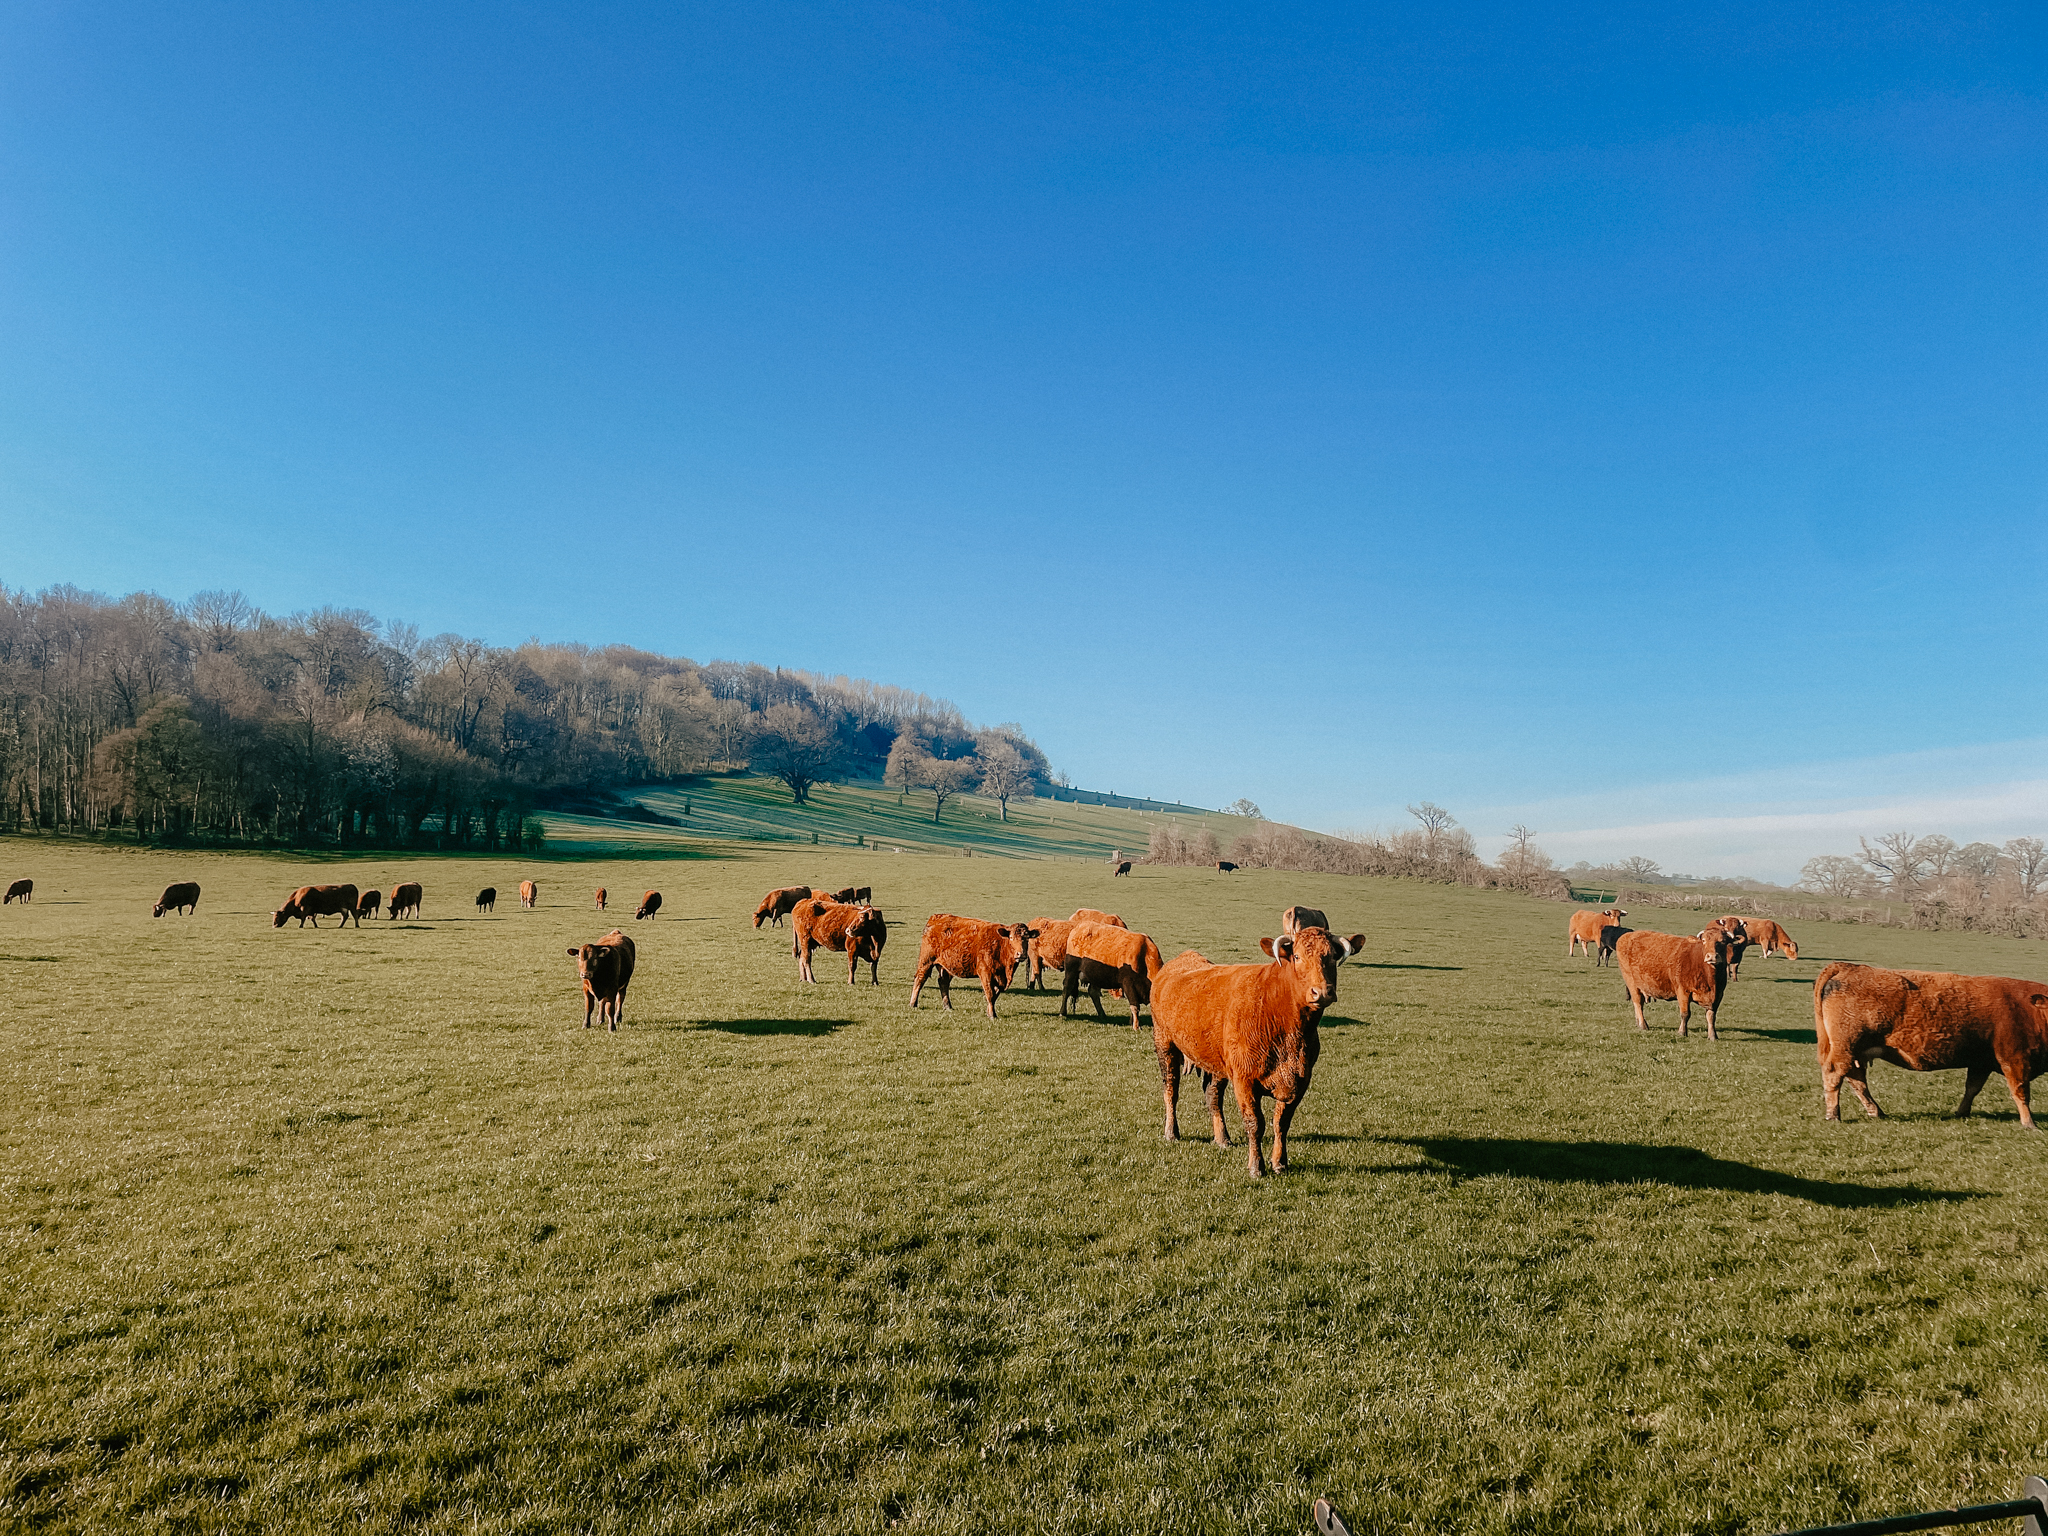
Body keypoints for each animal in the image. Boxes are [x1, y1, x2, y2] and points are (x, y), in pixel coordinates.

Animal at [1155, 925, 1359, 1179]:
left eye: (1332, 957)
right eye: (1297, 956)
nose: (1321, 992)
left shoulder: (1301, 1080)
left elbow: (1281, 1122)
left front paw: (1279, 1162)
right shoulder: (1244, 1080)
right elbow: (1255, 1123)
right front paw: (1256, 1166)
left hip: (1217, 1062)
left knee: (1213, 1096)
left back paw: (1222, 1138)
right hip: (1165, 1044)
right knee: (1171, 1090)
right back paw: (1171, 1132)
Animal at [1613, 925, 1744, 1048]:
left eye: (1723, 941)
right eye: (1704, 941)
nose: (1711, 956)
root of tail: (1627, 935)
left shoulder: (1718, 996)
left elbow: (1711, 1017)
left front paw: (1712, 1036)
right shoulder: (1683, 991)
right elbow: (1685, 1014)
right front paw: (1682, 1032)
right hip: (1632, 982)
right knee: (1638, 1003)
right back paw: (1643, 1024)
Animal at [1818, 966, 2039, 1138]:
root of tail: (1847, 967)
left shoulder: (1981, 1063)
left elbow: (1972, 1088)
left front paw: (1962, 1112)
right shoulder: (2015, 1060)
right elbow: (2020, 1092)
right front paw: (2030, 1124)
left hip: (1854, 1052)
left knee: (1856, 1079)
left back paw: (1876, 1112)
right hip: (1845, 1049)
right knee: (1835, 1074)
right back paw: (1833, 1115)